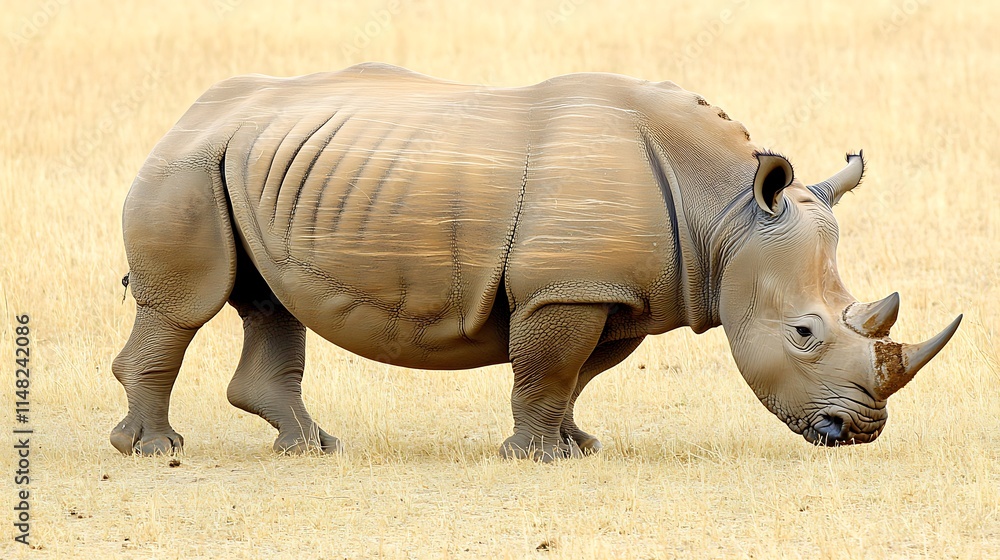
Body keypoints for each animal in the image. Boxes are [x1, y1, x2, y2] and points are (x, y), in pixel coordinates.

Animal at [111, 63, 961, 460]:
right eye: (805, 335)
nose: (857, 433)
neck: (725, 213)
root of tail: (189, 112)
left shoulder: (614, 292)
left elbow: (573, 375)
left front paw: (576, 447)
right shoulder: (567, 287)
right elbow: (548, 368)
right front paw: (535, 458)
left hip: (253, 163)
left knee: (268, 300)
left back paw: (311, 448)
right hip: (190, 164)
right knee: (185, 305)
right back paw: (155, 450)